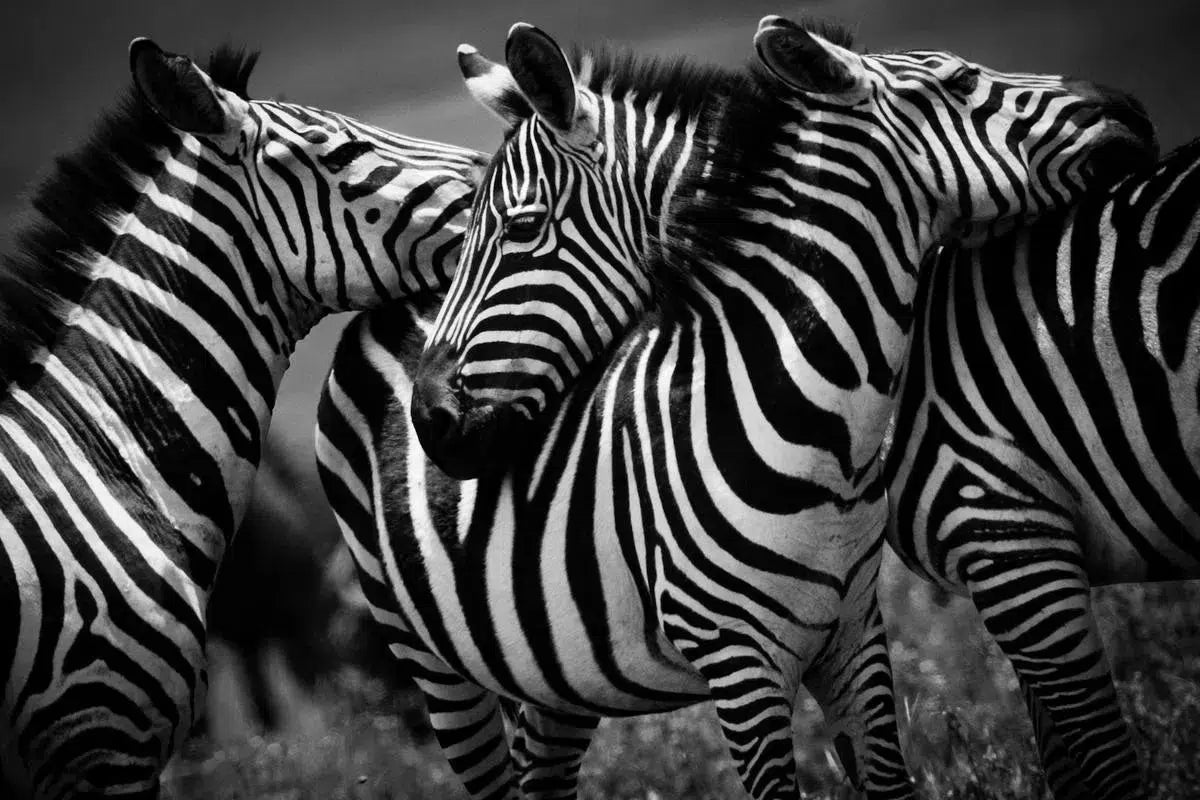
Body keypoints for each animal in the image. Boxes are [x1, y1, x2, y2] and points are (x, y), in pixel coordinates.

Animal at [316, 16, 1155, 800]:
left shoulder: (857, 631)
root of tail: (384, 310)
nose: (1128, 107)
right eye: (961, 81)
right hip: (429, 660)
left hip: (549, 668)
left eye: (520, 228)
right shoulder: (754, 657)